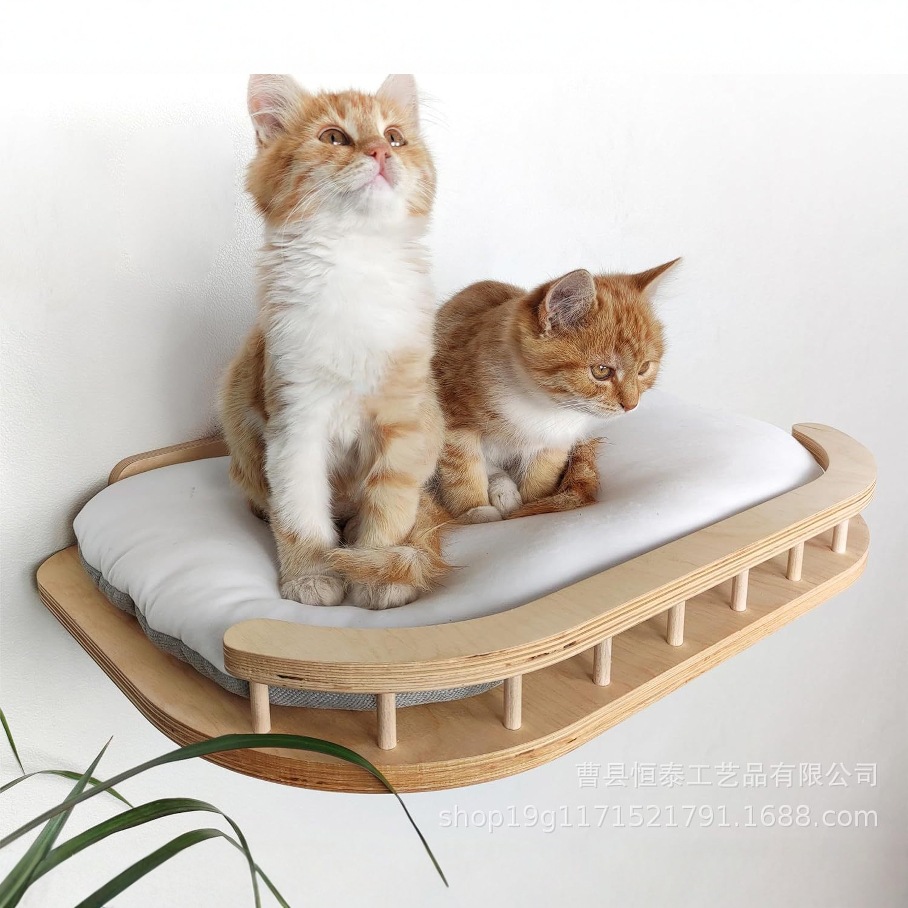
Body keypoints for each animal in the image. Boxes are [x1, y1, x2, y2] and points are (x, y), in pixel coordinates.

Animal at [219, 73, 448, 610]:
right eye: (334, 137)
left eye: (394, 138)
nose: (380, 153)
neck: (354, 258)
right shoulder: (295, 419)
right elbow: (299, 513)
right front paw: (311, 575)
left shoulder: (405, 422)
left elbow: (390, 511)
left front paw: (376, 573)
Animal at [432, 261, 678, 522]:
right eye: (601, 371)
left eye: (644, 368)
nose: (631, 405)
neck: (541, 405)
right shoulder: (450, 414)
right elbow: (462, 466)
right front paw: (474, 510)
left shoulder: (557, 442)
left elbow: (541, 477)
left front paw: (533, 506)